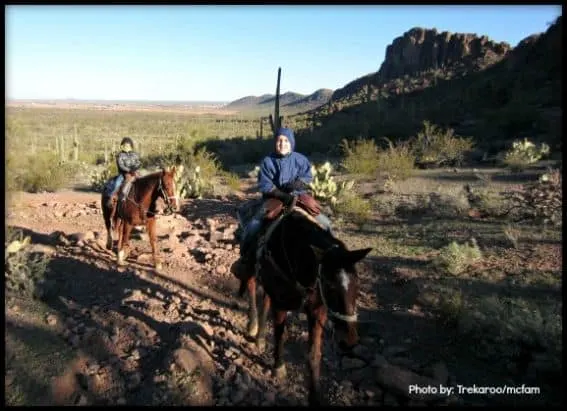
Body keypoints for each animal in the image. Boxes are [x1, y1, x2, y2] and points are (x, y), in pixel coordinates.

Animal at [235, 208, 372, 408]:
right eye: (329, 285)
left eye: (357, 284)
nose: (349, 340)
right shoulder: (281, 303)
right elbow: (280, 335)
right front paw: (278, 367)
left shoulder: (317, 311)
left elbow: (314, 354)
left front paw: (314, 397)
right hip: (253, 271)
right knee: (252, 288)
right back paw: (252, 327)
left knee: (265, 301)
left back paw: (260, 338)